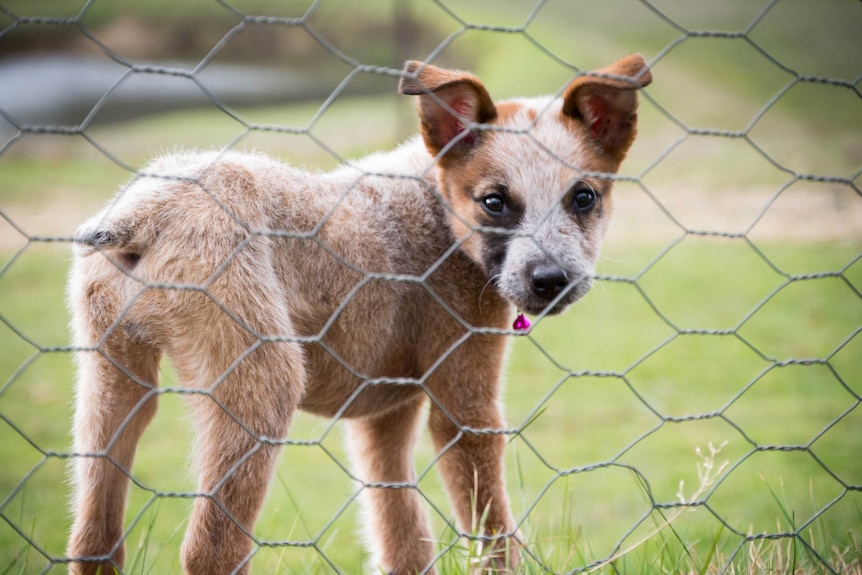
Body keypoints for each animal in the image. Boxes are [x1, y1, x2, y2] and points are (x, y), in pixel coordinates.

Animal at [66, 55, 648, 575]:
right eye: (494, 203)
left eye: (584, 197)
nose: (550, 280)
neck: (434, 203)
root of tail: (147, 212)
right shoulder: (465, 404)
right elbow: (491, 530)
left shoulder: (382, 417)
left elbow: (401, 534)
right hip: (260, 386)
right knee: (212, 550)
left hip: (111, 387)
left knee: (94, 540)